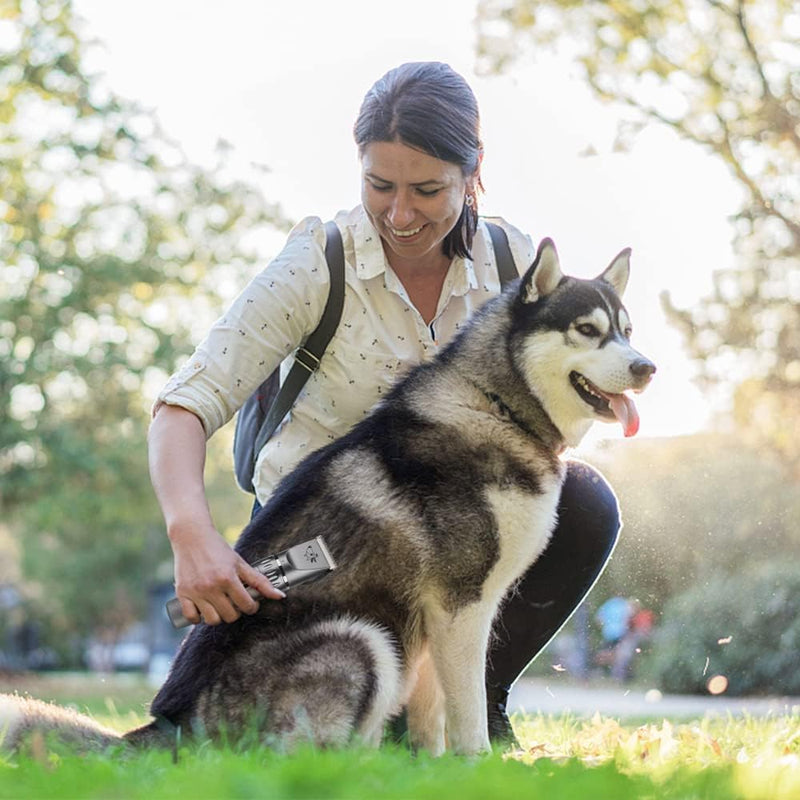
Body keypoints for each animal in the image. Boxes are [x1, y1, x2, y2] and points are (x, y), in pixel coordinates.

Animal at [1, 238, 656, 756]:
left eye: (627, 331)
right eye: (587, 330)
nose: (647, 367)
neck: (495, 405)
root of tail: (171, 723)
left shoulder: (440, 618)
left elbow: (433, 717)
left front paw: (434, 772)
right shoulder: (462, 606)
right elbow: (465, 709)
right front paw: (479, 768)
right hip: (362, 639)